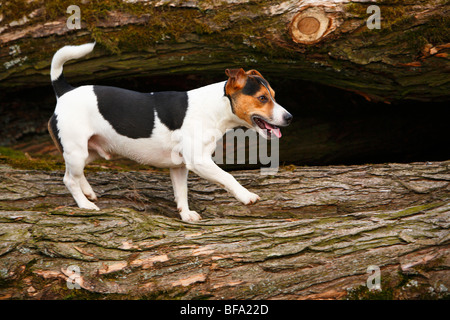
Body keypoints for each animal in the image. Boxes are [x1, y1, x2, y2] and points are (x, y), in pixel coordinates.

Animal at [48, 42, 292, 221]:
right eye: (262, 98)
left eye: (274, 95)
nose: (289, 117)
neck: (214, 107)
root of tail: (65, 91)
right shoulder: (199, 161)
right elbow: (227, 176)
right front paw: (246, 196)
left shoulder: (179, 166)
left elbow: (181, 192)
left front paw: (186, 215)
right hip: (77, 151)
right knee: (68, 179)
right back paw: (85, 204)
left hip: (90, 152)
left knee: (75, 174)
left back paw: (88, 192)